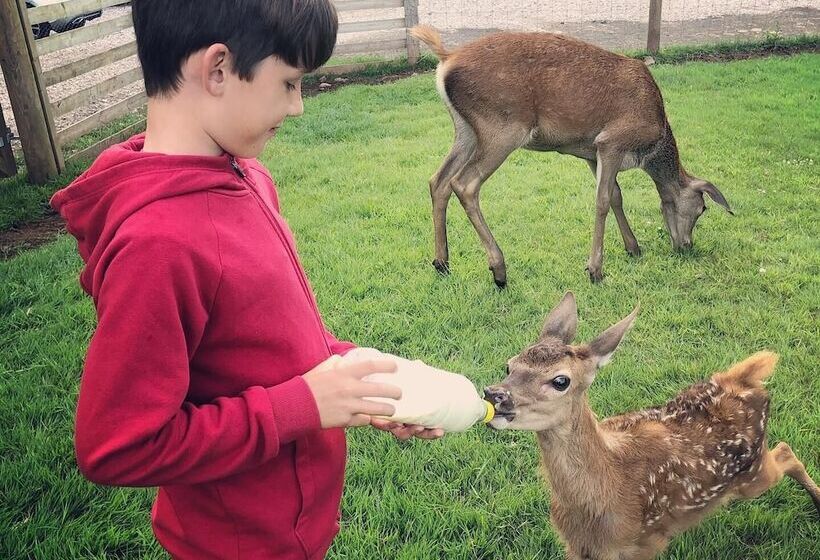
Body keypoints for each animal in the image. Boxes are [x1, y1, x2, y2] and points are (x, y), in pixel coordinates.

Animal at [410, 25, 732, 287]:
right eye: (702, 209)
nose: (686, 246)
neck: (650, 145)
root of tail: (446, 59)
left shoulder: (591, 152)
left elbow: (616, 196)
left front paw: (633, 247)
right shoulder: (612, 142)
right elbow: (602, 201)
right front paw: (595, 270)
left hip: (465, 131)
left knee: (438, 179)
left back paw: (442, 263)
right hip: (503, 127)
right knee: (464, 184)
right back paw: (499, 269)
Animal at [484, 293, 820, 560]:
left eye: (560, 381)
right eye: (509, 365)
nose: (494, 394)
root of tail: (742, 378)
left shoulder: (644, 543)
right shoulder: (575, 546)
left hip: (752, 476)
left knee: (786, 453)